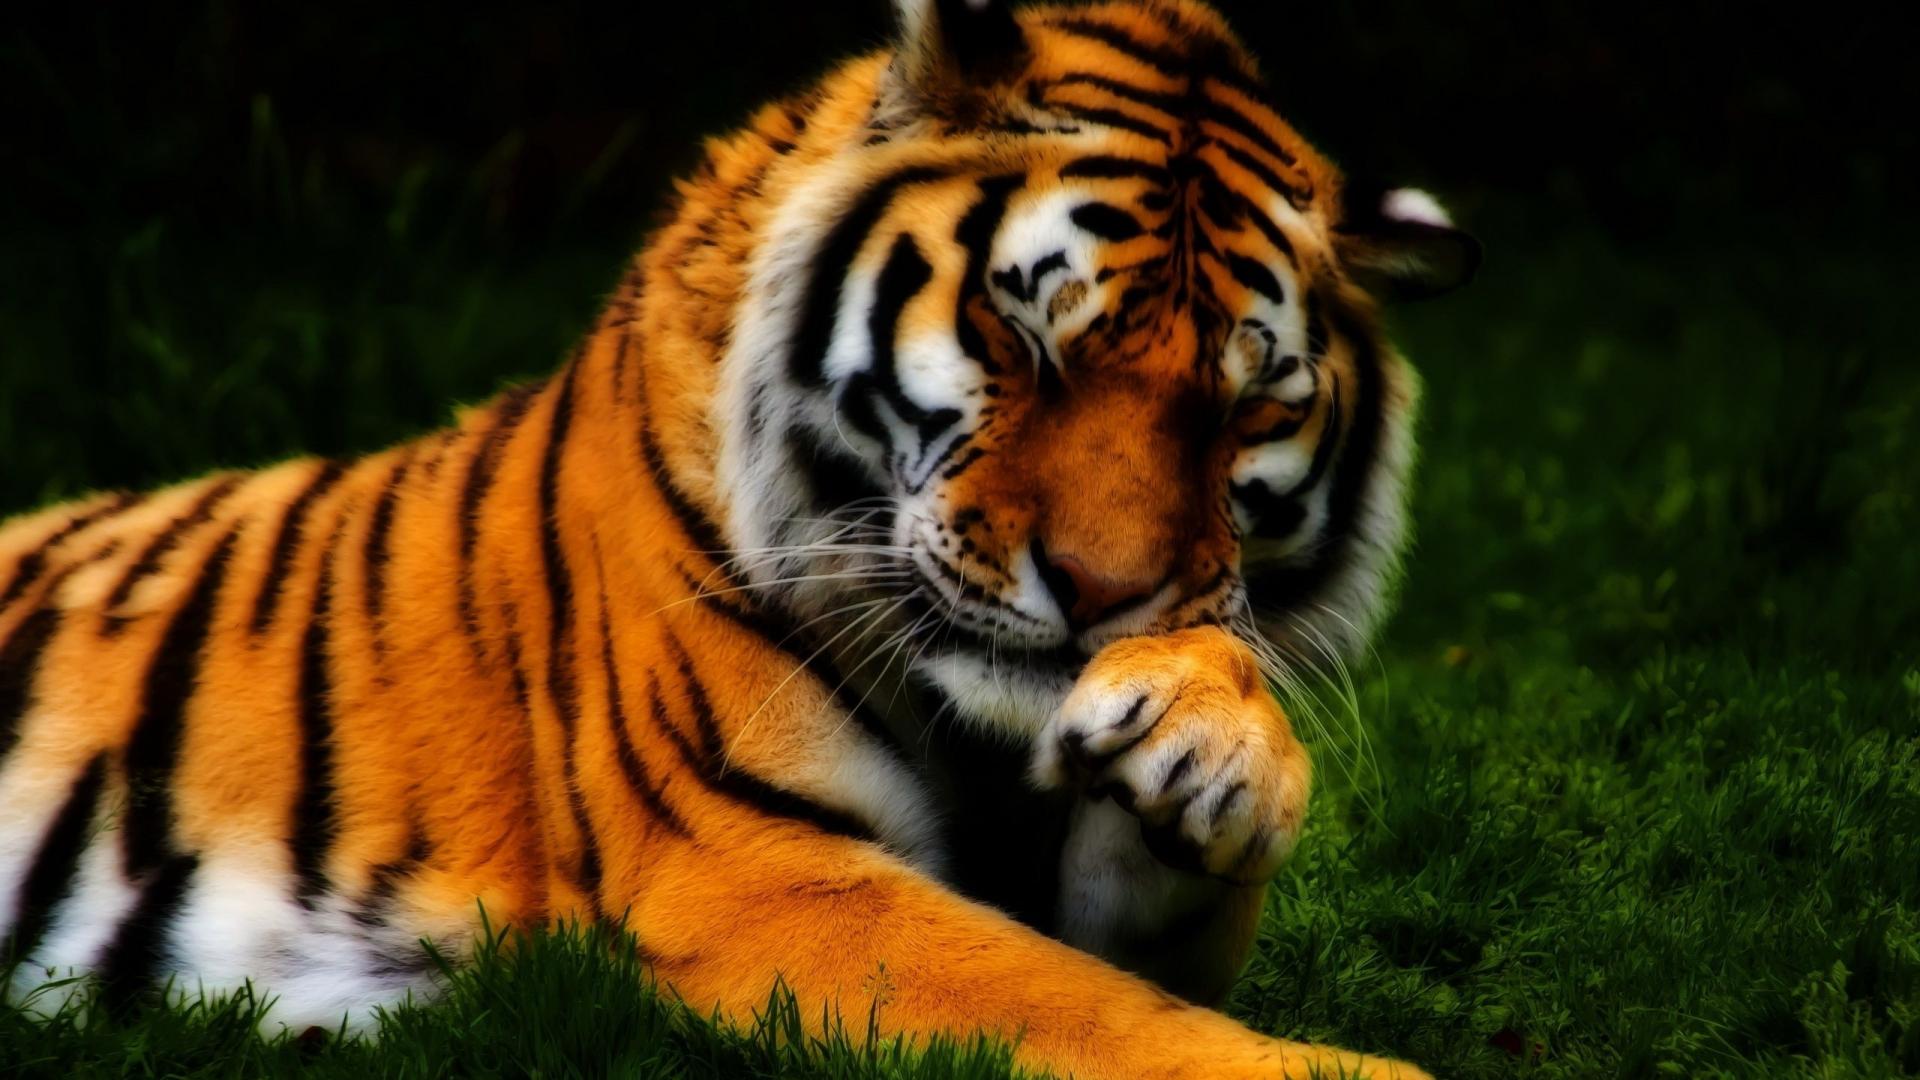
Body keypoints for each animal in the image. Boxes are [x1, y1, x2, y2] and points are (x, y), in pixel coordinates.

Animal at [0, 1, 1477, 1076]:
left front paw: (1207, 738)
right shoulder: (744, 863)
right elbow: (1093, 1012)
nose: (1100, 595)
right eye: (1022, 341)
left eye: (1244, 409)